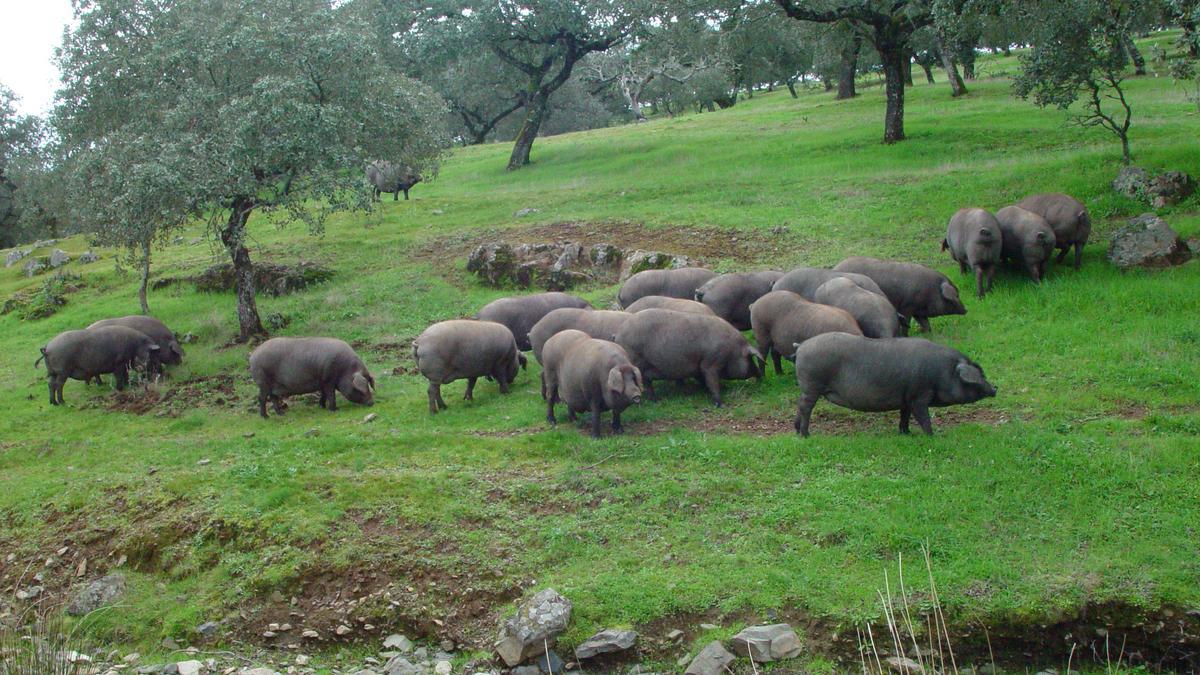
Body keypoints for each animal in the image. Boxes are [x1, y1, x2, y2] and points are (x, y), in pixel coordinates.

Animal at [614, 309, 763, 403]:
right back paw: (656, 401)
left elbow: (704, 380)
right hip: (637, 362)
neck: (732, 350)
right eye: (750, 358)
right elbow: (712, 381)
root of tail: (618, 334)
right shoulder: (711, 362)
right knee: (646, 383)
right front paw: (720, 403)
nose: (759, 373)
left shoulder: (699, 366)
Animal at [796, 331, 993, 437]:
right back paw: (806, 435)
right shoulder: (919, 396)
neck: (941, 373)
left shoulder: (906, 398)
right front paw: (932, 436)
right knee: (806, 407)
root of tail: (802, 346)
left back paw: (797, 431)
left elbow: (904, 416)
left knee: (800, 405)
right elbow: (923, 417)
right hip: (812, 384)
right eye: (977, 377)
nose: (995, 388)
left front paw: (906, 433)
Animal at [835, 254, 964, 331]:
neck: (931, 291)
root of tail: (836, 267)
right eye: (956, 295)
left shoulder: (918, 311)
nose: (966, 310)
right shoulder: (907, 307)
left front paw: (925, 332)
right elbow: (908, 322)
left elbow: (925, 322)